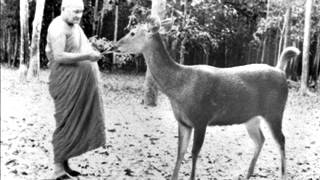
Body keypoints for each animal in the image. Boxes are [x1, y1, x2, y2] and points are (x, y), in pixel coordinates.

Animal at [110, 15, 300, 180]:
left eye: (132, 32)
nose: (114, 45)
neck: (179, 88)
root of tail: (281, 71)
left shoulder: (201, 117)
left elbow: (194, 152)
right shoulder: (183, 122)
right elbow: (180, 152)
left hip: (275, 111)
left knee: (281, 140)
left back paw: (282, 175)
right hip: (251, 117)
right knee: (260, 139)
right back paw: (248, 174)